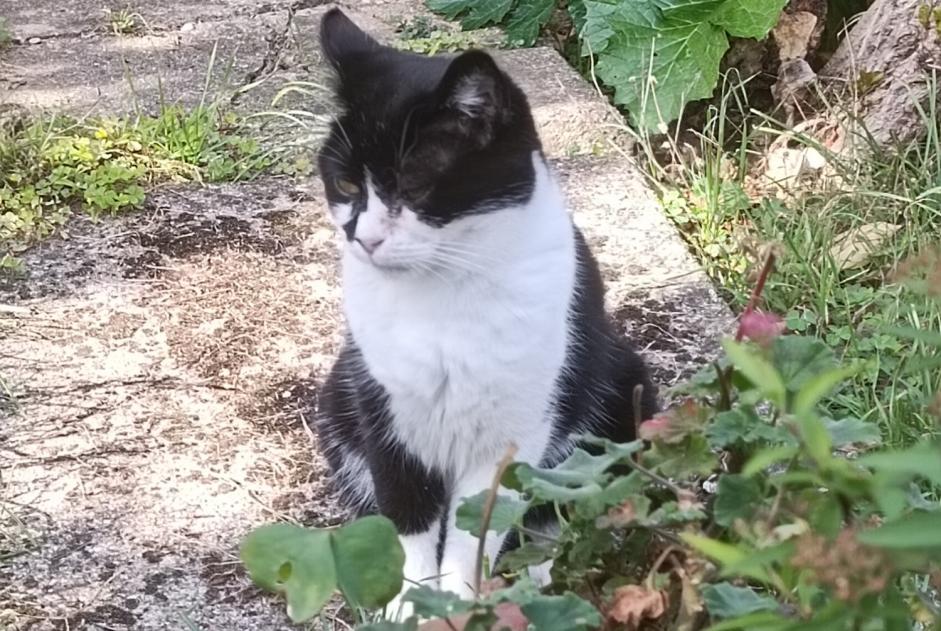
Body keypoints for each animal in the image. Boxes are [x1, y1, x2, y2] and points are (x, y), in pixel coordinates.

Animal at [314, 7, 652, 612]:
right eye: (346, 183)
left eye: (414, 184)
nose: (363, 238)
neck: (439, 295)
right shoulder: (385, 413)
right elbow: (408, 515)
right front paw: (411, 605)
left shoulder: (514, 432)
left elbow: (479, 526)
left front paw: (460, 605)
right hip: (336, 400)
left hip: (625, 389)